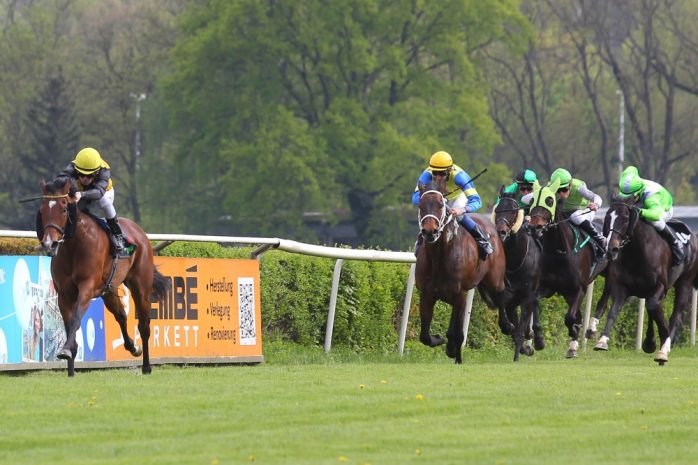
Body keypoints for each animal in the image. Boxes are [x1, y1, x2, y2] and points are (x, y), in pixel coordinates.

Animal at [37, 178, 169, 376]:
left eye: (63, 209)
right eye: (43, 210)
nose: (49, 243)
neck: (74, 247)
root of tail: (139, 231)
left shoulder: (87, 288)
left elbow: (76, 318)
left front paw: (66, 350)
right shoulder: (63, 294)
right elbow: (68, 324)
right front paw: (70, 368)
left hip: (141, 286)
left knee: (144, 325)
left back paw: (146, 366)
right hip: (109, 290)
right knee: (121, 315)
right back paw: (132, 347)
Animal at [415, 182, 511, 364]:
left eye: (441, 205)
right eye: (420, 205)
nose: (430, 232)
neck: (440, 257)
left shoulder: (460, 295)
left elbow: (457, 333)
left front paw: (454, 353)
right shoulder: (426, 295)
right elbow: (424, 336)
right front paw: (439, 340)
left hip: (494, 278)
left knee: (501, 293)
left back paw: (507, 325)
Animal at [493, 191, 545, 361]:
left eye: (513, 211)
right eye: (498, 210)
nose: (501, 232)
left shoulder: (527, 292)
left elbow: (520, 330)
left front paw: (518, 354)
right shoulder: (507, 292)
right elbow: (505, 315)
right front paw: (507, 326)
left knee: (533, 307)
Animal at [527, 184, 607, 358]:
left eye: (549, 201)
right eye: (531, 200)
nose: (535, 227)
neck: (560, 251)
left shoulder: (580, 288)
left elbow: (570, 318)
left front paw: (574, 331)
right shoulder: (549, 287)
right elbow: (534, 301)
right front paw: (538, 340)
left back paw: (591, 331)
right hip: (567, 293)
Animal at [584, 195, 698, 364]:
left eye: (626, 218)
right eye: (607, 218)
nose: (611, 248)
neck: (637, 252)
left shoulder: (660, 286)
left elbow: (653, 308)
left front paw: (659, 340)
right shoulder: (621, 286)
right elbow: (614, 310)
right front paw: (602, 341)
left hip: (685, 282)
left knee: (675, 317)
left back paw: (664, 349)